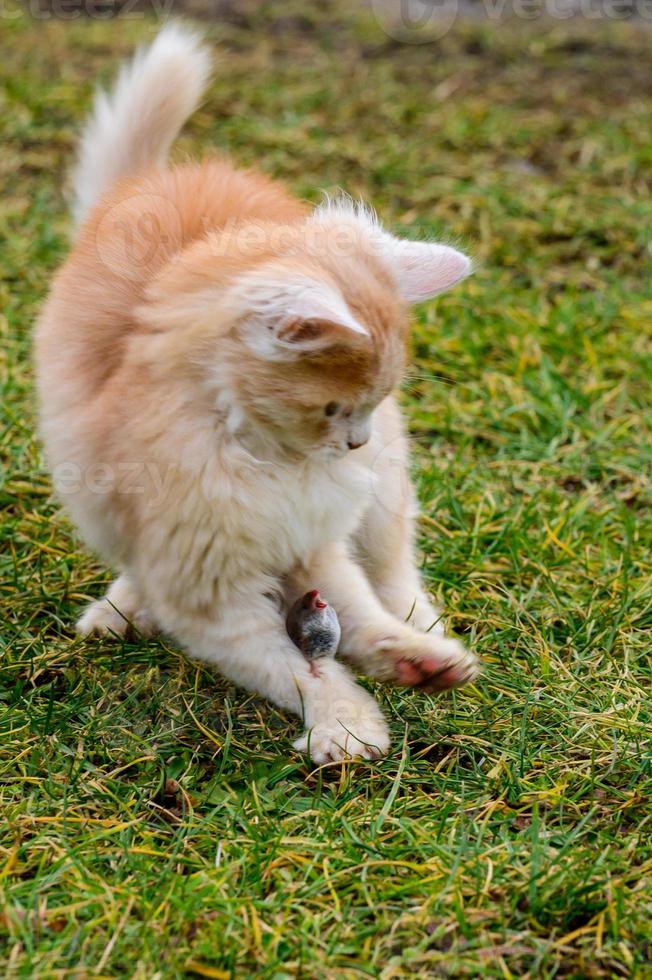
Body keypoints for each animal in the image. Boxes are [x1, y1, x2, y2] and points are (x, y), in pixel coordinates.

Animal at [34, 21, 478, 756]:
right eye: (331, 409)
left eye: (367, 405)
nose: (355, 444)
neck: (268, 460)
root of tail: (152, 181)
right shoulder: (210, 587)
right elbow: (290, 666)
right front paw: (346, 723)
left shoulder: (315, 541)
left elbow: (358, 613)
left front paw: (415, 658)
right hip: (97, 497)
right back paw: (122, 608)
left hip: (384, 488)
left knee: (393, 562)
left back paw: (424, 624)